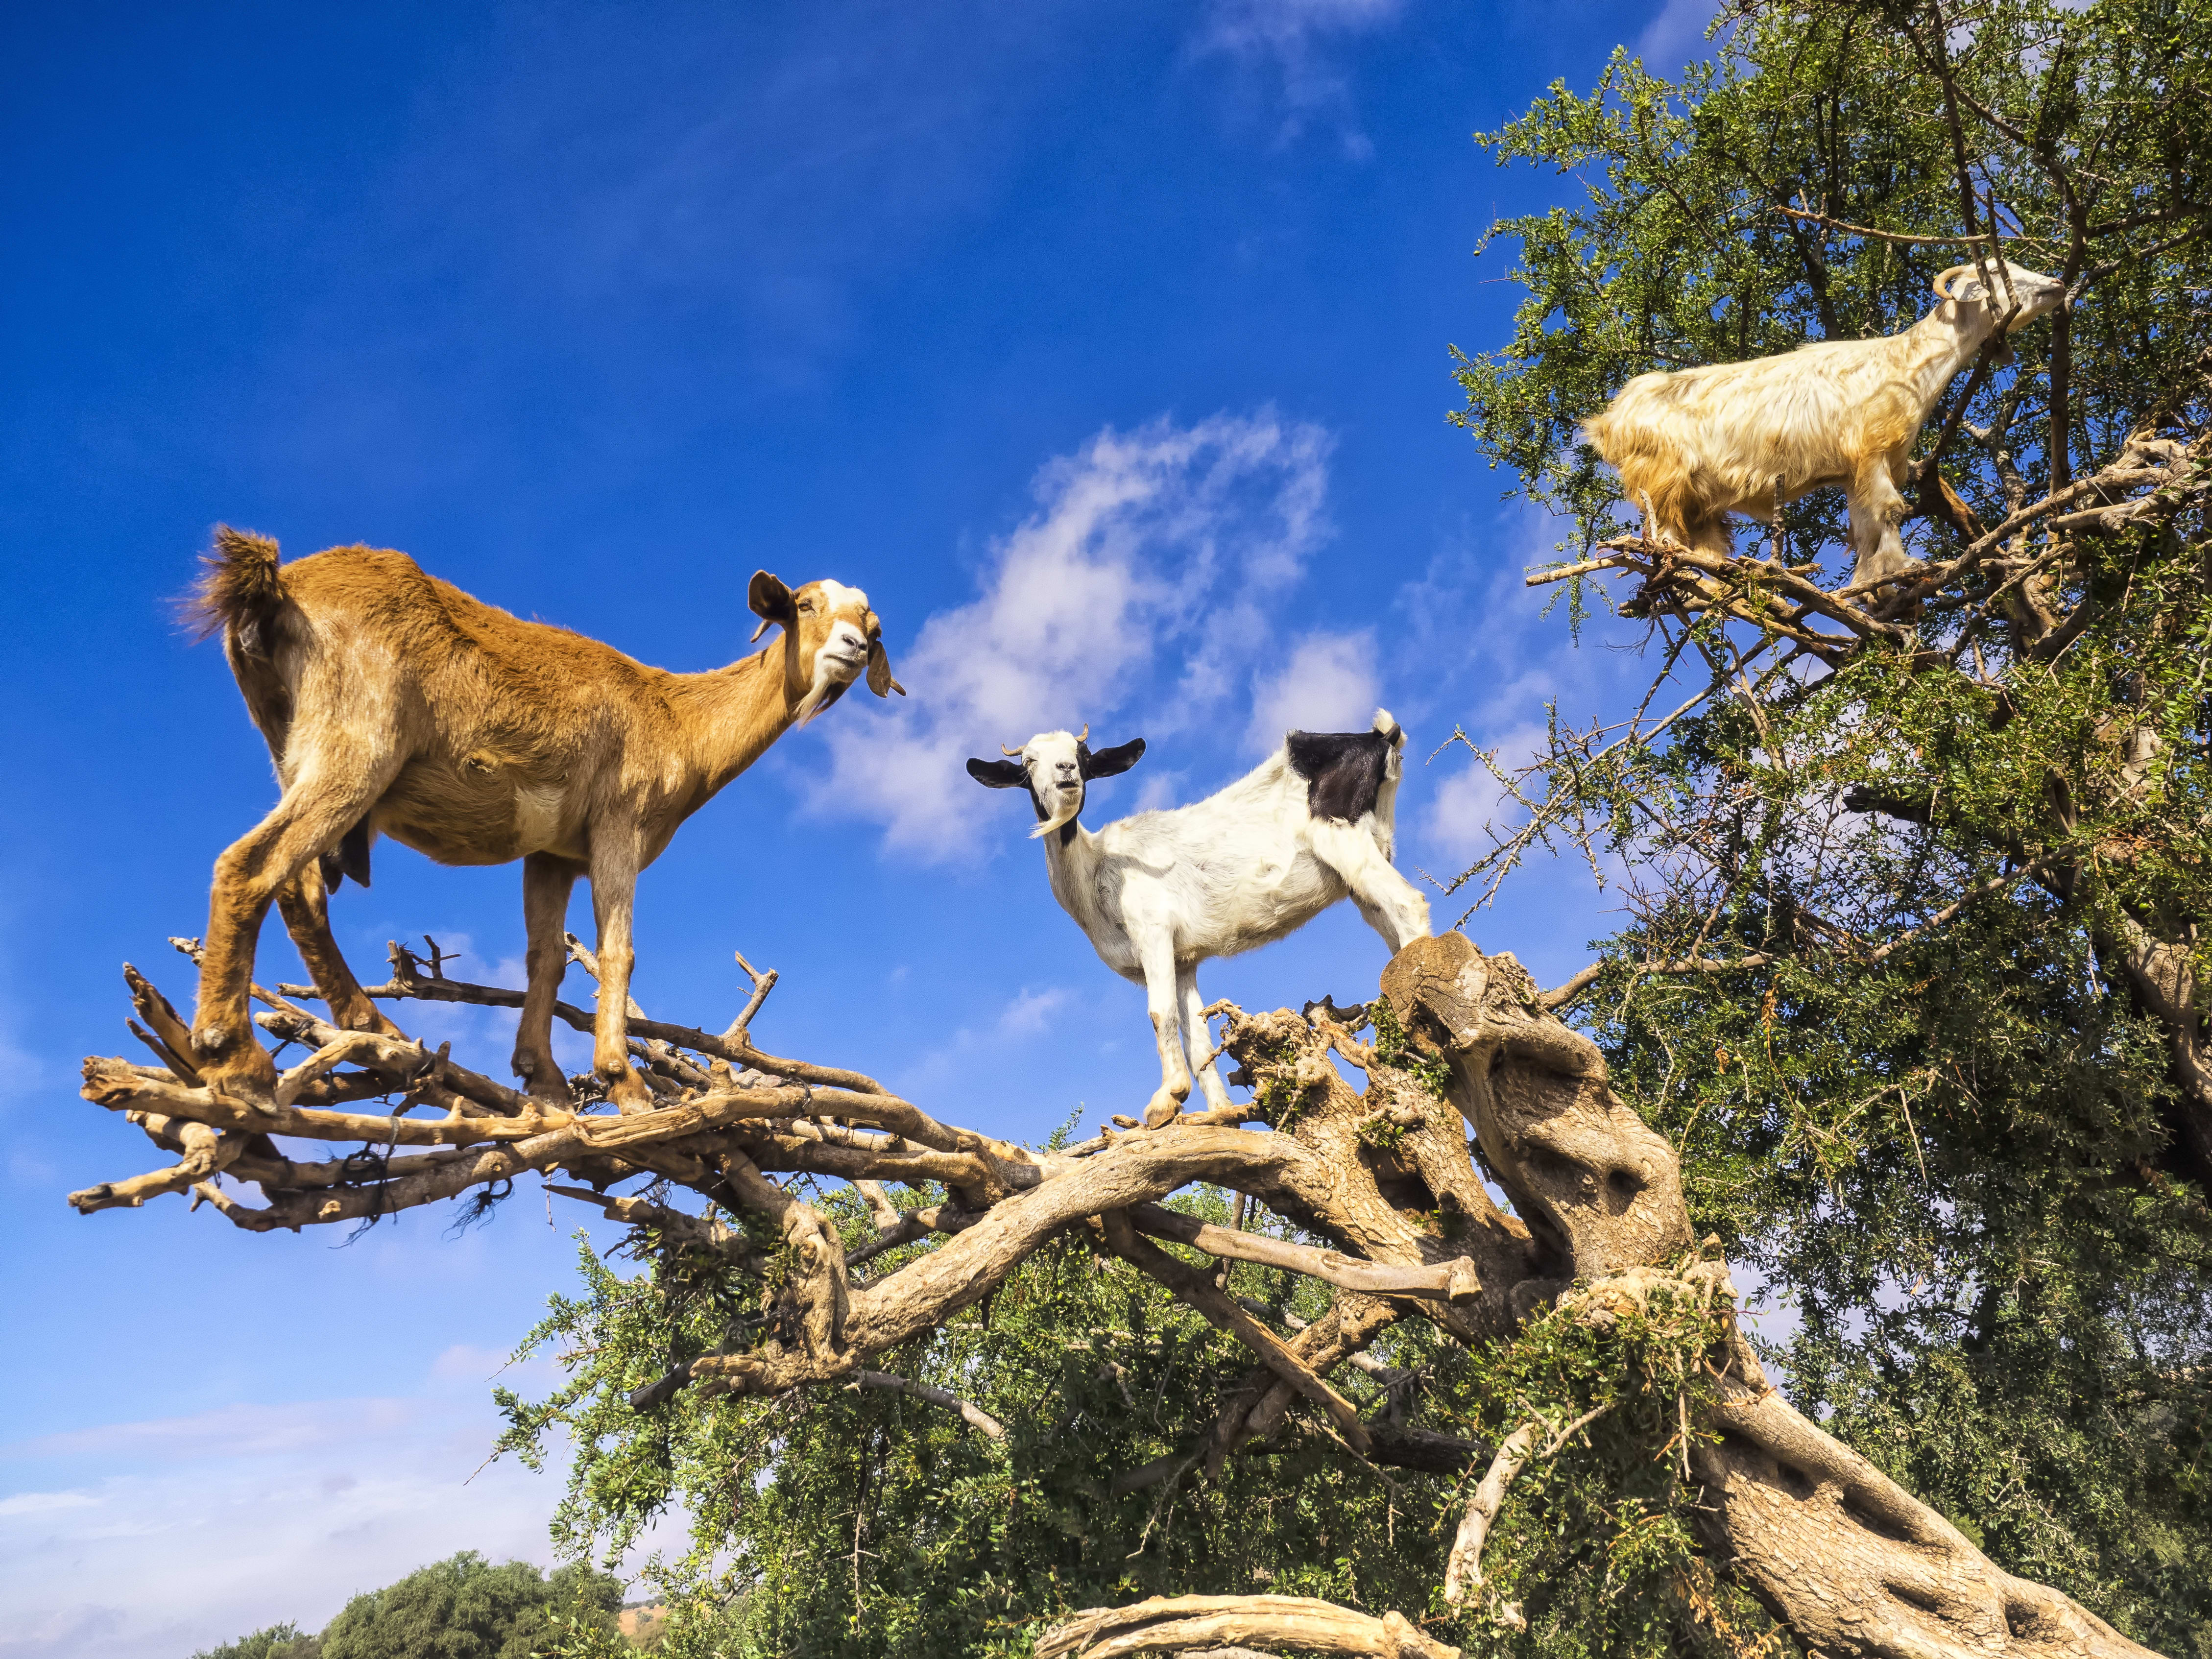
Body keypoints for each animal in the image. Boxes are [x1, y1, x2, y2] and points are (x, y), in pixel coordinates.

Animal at [182, 528, 902, 1109]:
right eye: (803, 605)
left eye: (873, 627)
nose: (852, 646)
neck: (679, 720)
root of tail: (276, 587)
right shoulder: (619, 822)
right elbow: (617, 950)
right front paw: (623, 1080)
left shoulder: (552, 852)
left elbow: (546, 958)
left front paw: (543, 1074)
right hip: (356, 740)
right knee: (250, 863)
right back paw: (235, 1057)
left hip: (292, 749)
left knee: (299, 890)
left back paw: (374, 1029)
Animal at [968, 711, 1431, 1127]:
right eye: (1029, 762)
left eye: (1082, 755)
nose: (1066, 771)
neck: (1095, 866)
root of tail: (1381, 737)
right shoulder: (1184, 959)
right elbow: (1196, 1033)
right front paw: (1220, 1112)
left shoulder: (1153, 930)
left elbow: (1160, 1013)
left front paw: (1166, 1099)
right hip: (1366, 864)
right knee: (1392, 929)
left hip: (1342, 836)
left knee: (1410, 903)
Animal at [1582, 261, 2064, 585]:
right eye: (1995, 274)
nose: (2057, 285)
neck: (1904, 364)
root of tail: (1612, 418)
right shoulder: (1872, 451)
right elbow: (1890, 512)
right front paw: (1904, 568)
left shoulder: (1858, 470)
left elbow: (1866, 525)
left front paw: (1873, 581)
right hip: (1664, 475)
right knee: (1664, 533)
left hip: (1701, 499)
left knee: (1702, 541)